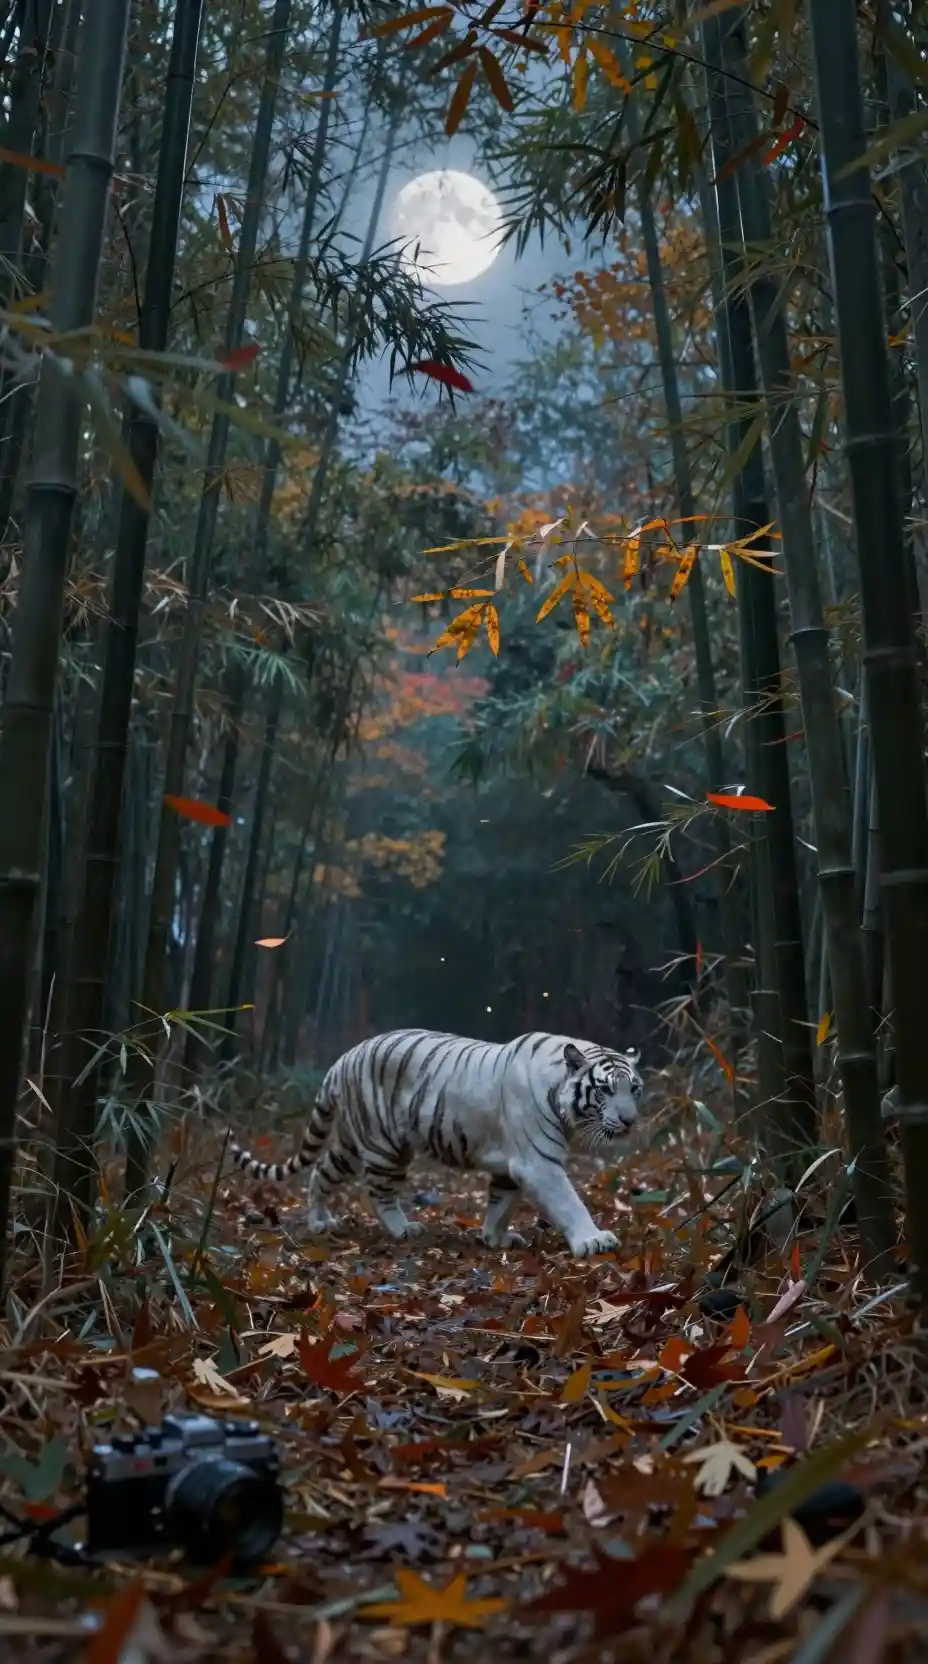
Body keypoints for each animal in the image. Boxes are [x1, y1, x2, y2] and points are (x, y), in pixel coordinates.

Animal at [228, 1028, 644, 1258]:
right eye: (605, 1090)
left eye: (634, 1089)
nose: (630, 1121)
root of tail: (343, 1058)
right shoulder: (538, 1162)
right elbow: (569, 1202)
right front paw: (593, 1240)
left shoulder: (512, 1167)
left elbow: (501, 1204)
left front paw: (495, 1237)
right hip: (385, 1146)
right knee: (379, 1193)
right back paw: (403, 1229)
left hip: (350, 1141)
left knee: (321, 1171)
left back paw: (319, 1221)